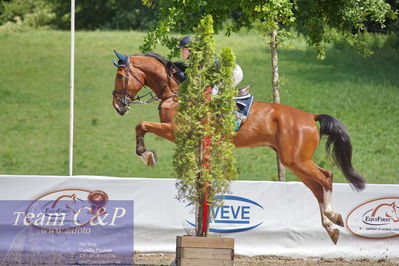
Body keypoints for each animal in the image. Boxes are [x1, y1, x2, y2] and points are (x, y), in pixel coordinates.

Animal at [111, 51, 366, 244]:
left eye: (120, 75)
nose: (117, 106)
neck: (176, 95)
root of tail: (310, 117)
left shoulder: (175, 131)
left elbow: (141, 124)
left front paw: (145, 155)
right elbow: (142, 126)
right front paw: (146, 154)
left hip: (296, 160)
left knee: (326, 177)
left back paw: (333, 217)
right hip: (294, 162)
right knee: (316, 188)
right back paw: (331, 227)